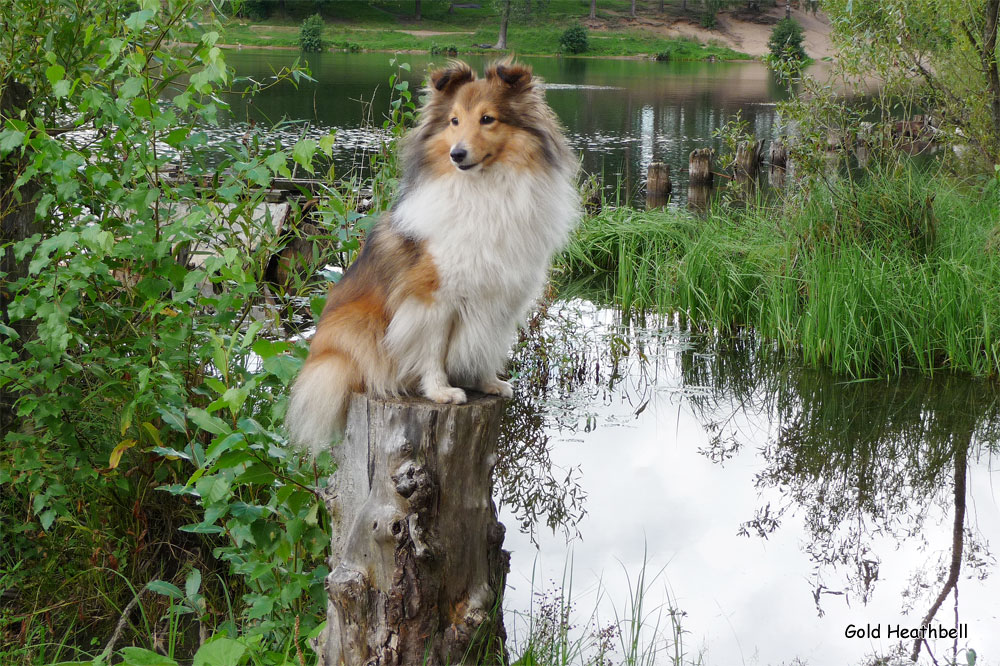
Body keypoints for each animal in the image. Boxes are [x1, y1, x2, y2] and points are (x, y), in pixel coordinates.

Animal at [286, 59, 580, 452]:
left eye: (488, 119)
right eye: (454, 120)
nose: (457, 154)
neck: (484, 189)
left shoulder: (499, 298)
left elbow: (485, 342)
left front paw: (488, 382)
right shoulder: (432, 298)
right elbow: (432, 348)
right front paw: (441, 391)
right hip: (356, 326)